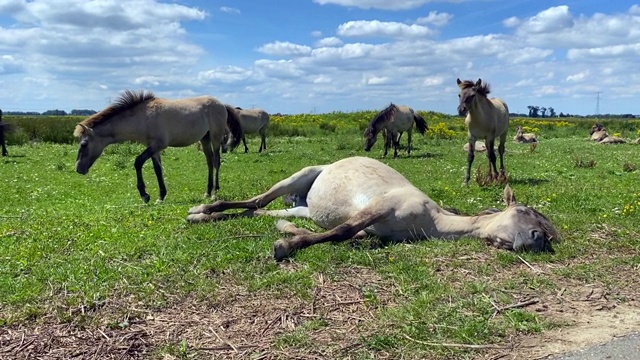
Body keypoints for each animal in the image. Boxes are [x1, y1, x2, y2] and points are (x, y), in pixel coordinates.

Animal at [74, 89, 244, 202]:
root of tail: (222, 104)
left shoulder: (158, 145)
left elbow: (138, 162)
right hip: (204, 139)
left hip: (215, 137)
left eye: (84, 143)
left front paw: (145, 195)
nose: (78, 169)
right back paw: (207, 192)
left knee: (216, 161)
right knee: (209, 161)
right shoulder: (153, 147)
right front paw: (161, 196)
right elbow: (158, 170)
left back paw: (214, 192)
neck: (143, 116)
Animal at [186, 156, 560, 260]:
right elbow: (342, 231)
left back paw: (205, 216)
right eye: (524, 212)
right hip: (298, 177)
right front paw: (286, 246)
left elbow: (351, 235)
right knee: (257, 200)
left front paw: (287, 235)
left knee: (259, 211)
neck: (430, 220)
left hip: (303, 208)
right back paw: (202, 209)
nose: (538, 238)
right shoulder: (380, 208)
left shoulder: (372, 230)